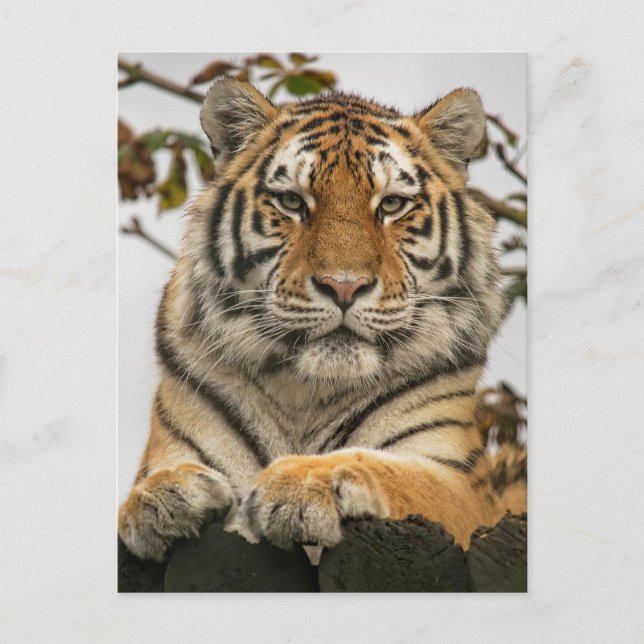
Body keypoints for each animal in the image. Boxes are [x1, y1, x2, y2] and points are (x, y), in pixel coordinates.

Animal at [118, 78, 521, 562]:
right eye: (292, 201)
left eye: (392, 204)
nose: (344, 286)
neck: (305, 396)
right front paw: (164, 494)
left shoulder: (459, 484)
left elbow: (394, 472)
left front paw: (305, 481)